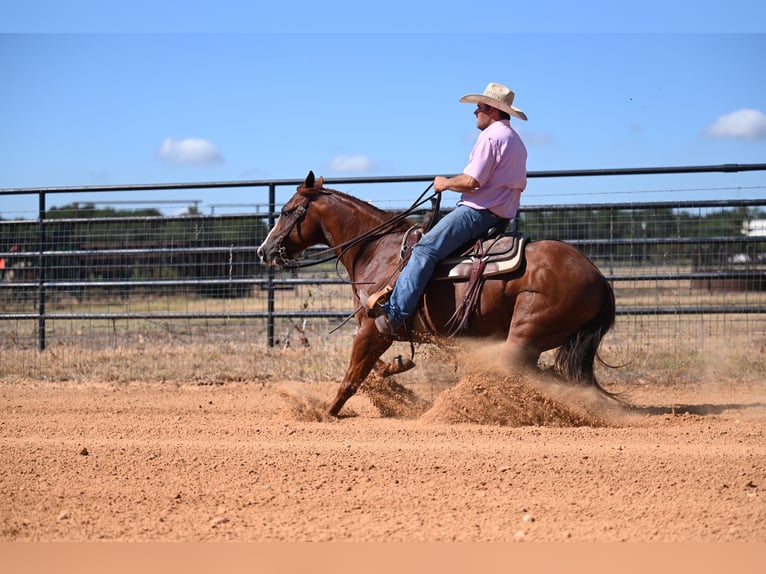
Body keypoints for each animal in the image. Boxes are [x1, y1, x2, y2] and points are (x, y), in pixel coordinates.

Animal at [258, 171, 616, 418]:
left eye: (288, 211)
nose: (264, 250)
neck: (376, 249)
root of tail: (598, 277)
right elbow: (373, 369)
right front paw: (395, 368)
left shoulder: (374, 328)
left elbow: (353, 376)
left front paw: (326, 413)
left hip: (524, 336)